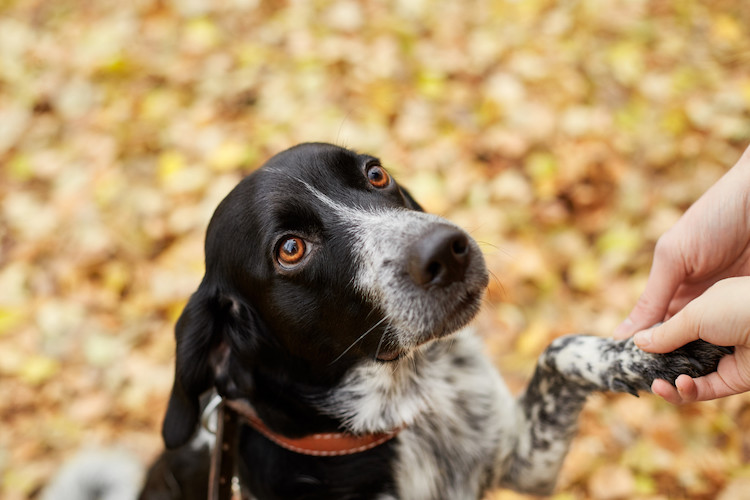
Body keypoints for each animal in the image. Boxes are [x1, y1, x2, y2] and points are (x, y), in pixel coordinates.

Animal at [144, 142, 732, 500]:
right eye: (290, 249)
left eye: (376, 173)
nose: (448, 249)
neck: (409, 399)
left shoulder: (527, 463)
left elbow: (560, 348)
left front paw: (653, 353)